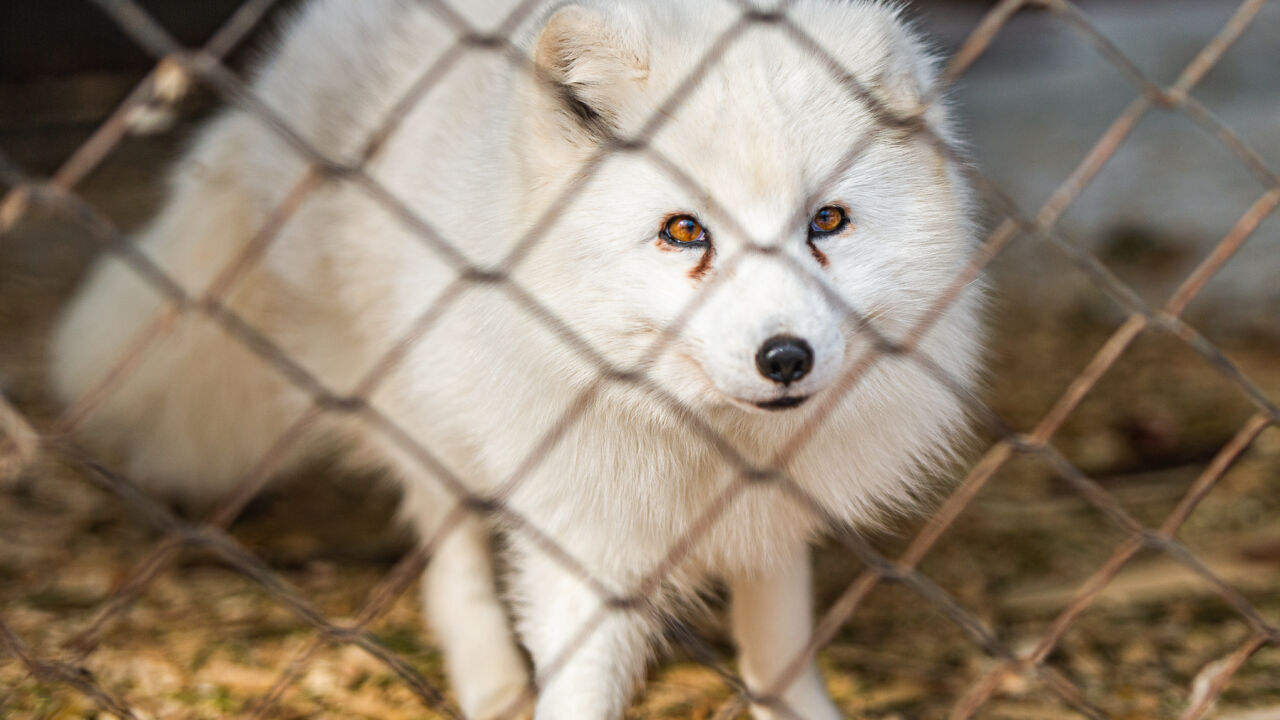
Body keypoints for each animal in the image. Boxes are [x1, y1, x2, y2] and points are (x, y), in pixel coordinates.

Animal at [49, 0, 983, 712]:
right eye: (685, 231)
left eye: (828, 222)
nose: (785, 357)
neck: (704, 442)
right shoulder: (578, 532)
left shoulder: (773, 508)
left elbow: (780, 643)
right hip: (417, 408)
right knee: (447, 558)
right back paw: (492, 679)